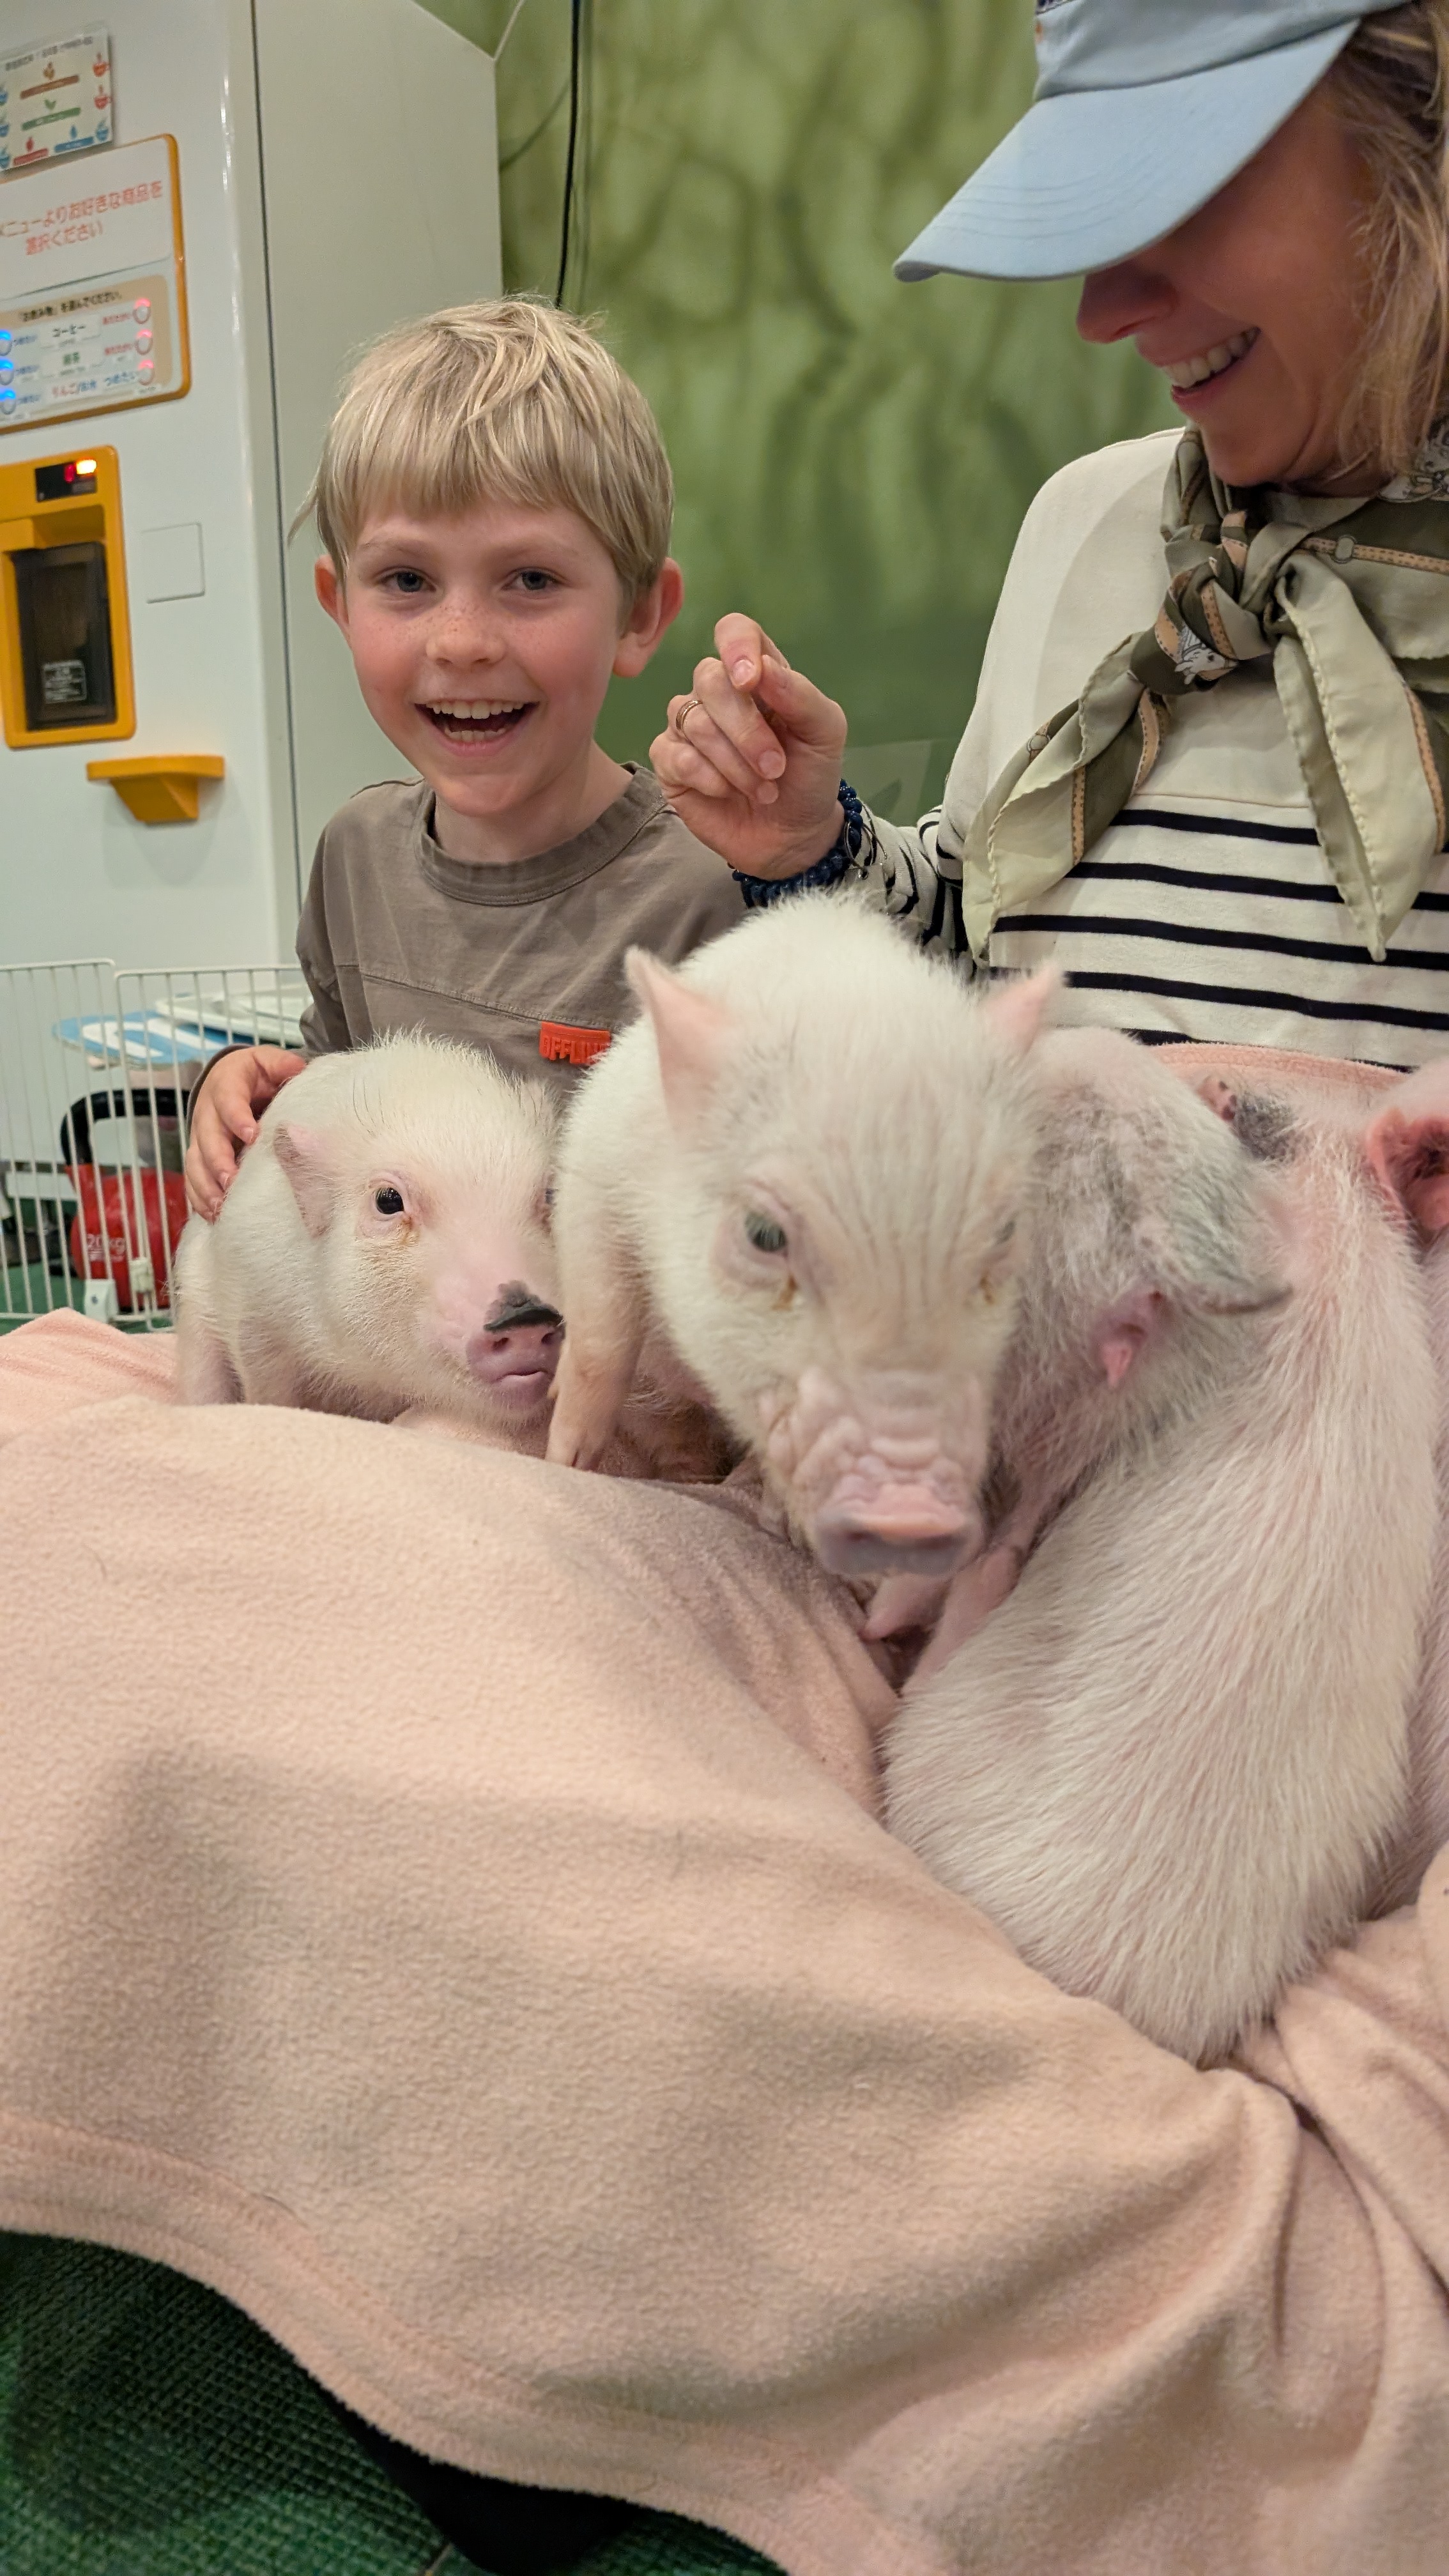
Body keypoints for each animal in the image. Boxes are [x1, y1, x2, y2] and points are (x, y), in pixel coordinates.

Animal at [545, 897, 1056, 1582]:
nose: (912, 1512)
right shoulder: (594, 1169)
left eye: (1003, 1233)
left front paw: (784, 1527)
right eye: (764, 1234)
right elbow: (601, 1345)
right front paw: (562, 1461)